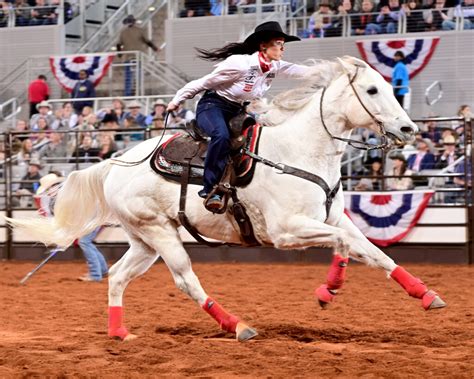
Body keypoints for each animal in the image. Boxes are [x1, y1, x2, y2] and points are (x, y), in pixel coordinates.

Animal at [9, 57, 446, 344]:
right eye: (372, 90)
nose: (407, 128)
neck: (299, 150)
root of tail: (115, 163)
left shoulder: (334, 219)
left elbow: (371, 251)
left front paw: (426, 296)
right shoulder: (287, 232)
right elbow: (345, 246)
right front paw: (328, 291)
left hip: (145, 240)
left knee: (117, 275)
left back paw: (119, 331)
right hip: (161, 234)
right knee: (186, 280)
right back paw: (238, 326)